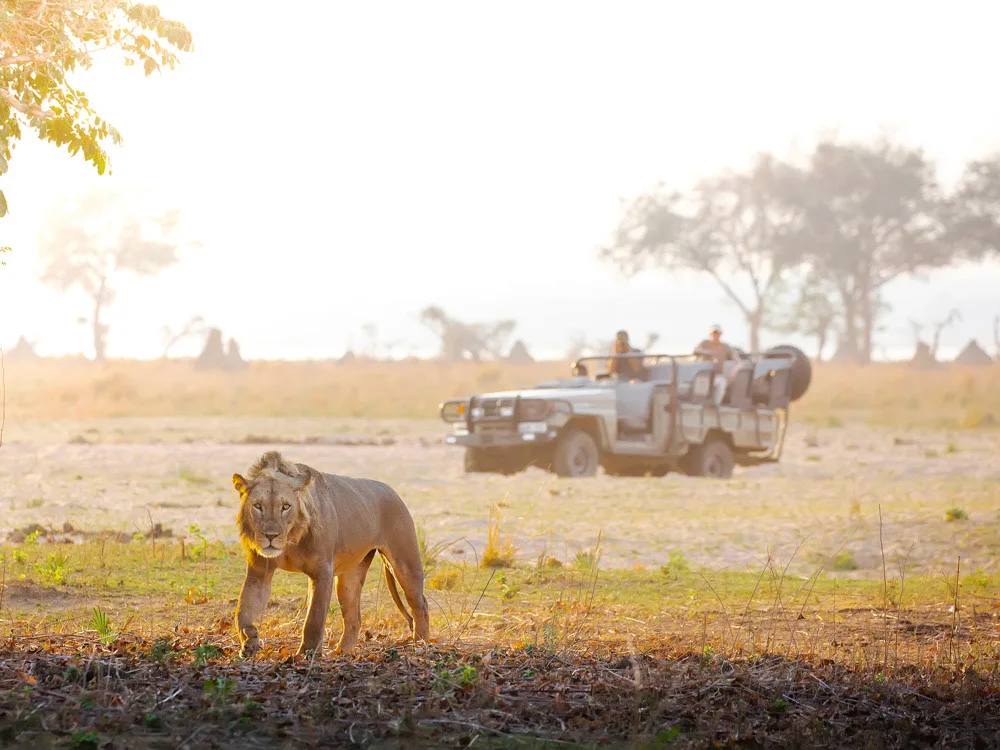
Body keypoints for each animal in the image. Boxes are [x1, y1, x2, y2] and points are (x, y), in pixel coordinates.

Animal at [231, 450, 429, 658]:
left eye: (285, 506)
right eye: (258, 506)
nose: (271, 536)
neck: (290, 539)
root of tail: (391, 490)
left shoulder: (322, 571)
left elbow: (314, 618)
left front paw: (307, 654)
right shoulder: (259, 572)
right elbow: (242, 610)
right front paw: (249, 640)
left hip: (405, 564)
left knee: (421, 606)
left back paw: (420, 645)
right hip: (349, 578)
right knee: (354, 618)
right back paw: (342, 653)